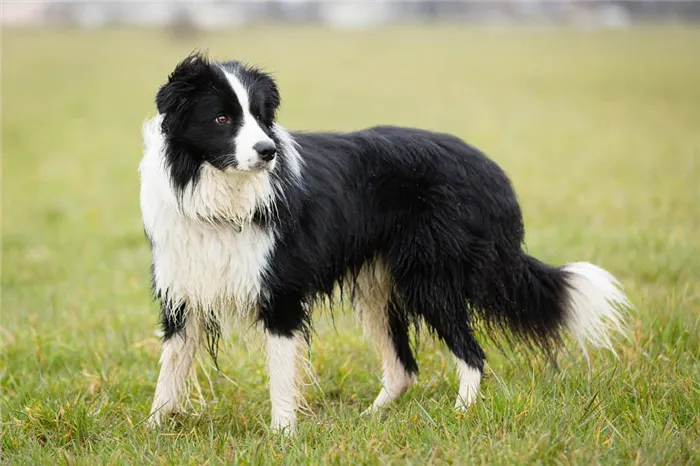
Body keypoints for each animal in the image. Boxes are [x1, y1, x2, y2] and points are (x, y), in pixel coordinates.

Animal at [139, 52, 632, 432]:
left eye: (261, 117)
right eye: (222, 118)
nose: (268, 152)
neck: (219, 191)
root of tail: (490, 169)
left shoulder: (280, 293)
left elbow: (280, 374)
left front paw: (282, 434)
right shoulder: (183, 291)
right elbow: (170, 369)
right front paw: (153, 430)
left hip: (431, 277)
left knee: (471, 354)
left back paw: (461, 413)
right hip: (379, 286)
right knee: (403, 368)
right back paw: (370, 418)